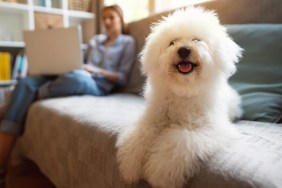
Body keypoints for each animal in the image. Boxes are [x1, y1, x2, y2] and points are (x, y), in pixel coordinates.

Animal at [116, 6, 242, 188]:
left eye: (197, 40)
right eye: (172, 42)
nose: (184, 50)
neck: (184, 90)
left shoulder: (210, 129)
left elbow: (179, 143)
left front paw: (159, 173)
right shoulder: (152, 119)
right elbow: (139, 137)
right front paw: (130, 166)